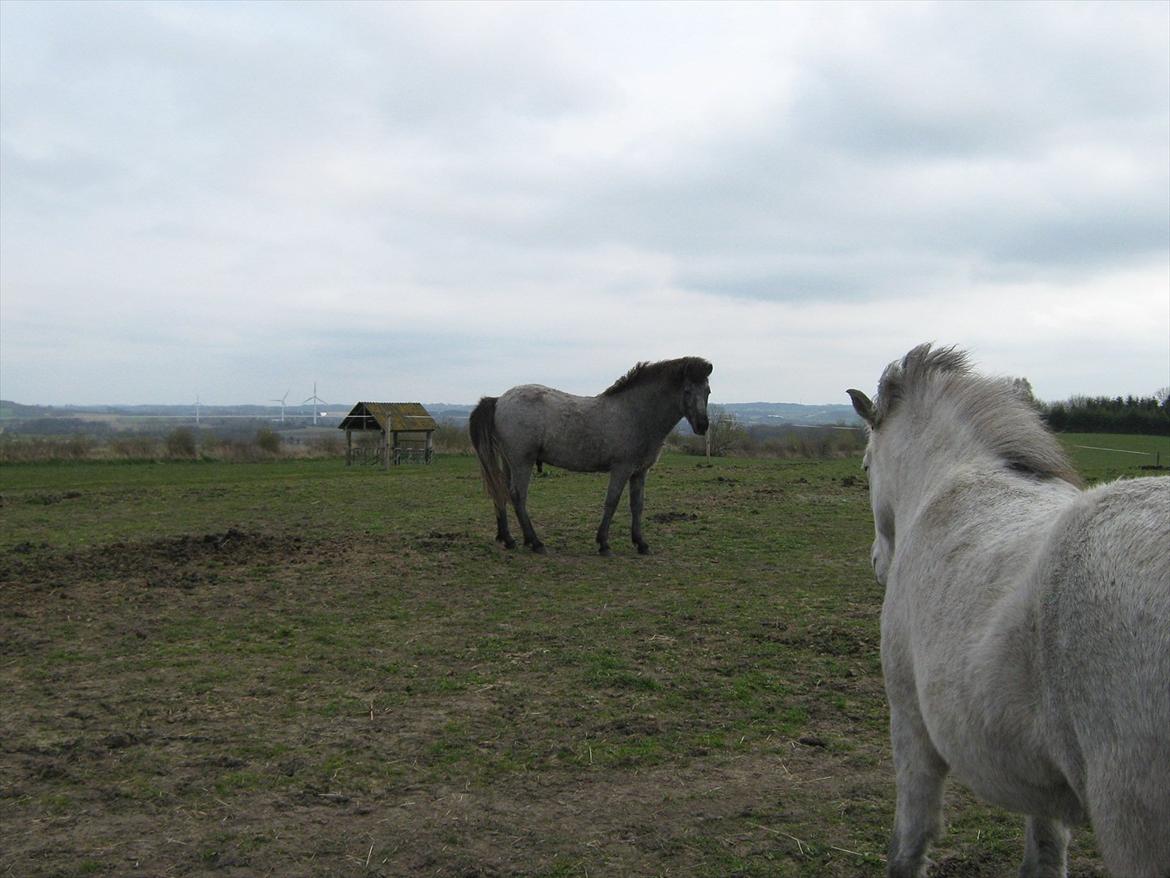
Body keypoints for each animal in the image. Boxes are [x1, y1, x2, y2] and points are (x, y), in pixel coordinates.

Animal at [467, 358, 711, 557]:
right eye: (687, 390)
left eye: (707, 391)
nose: (703, 425)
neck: (635, 413)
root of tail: (499, 400)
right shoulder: (621, 469)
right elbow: (611, 502)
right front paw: (603, 544)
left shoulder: (640, 472)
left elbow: (637, 505)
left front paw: (641, 543)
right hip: (522, 462)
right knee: (518, 496)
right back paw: (535, 543)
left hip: (509, 462)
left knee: (501, 491)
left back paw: (508, 539)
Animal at [851, 346, 1170, 878]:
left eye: (866, 464)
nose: (878, 562)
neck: (954, 478)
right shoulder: (1047, 789)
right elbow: (1044, 856)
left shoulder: (911, 723)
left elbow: (908, 843)